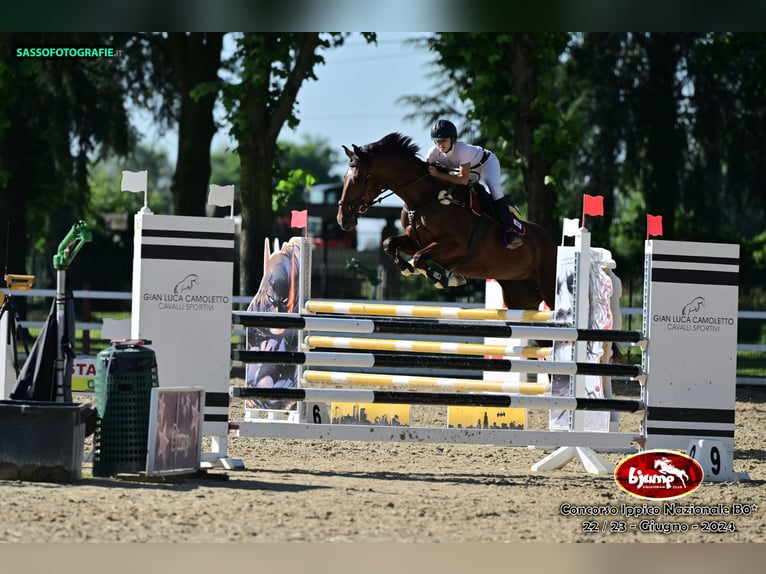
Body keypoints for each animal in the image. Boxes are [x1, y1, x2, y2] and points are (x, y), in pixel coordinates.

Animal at [336, 133, 560, 312]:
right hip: (520, 295)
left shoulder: (456, 246)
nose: (342, 219)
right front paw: (407, 268)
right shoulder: (415, 240)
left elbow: (419, 258)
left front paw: (446, 278)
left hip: (548, 287)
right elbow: (389, 243)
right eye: (345, 177)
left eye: (357, 178)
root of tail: (552, 242)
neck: (424, 199)